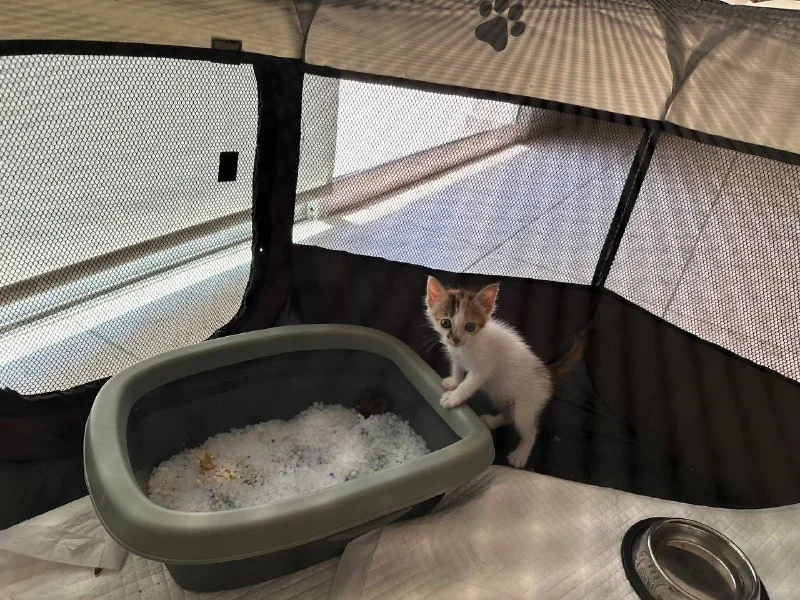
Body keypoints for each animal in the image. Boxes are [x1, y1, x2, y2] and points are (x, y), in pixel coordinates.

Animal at [425, 275, 584, 469]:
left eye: (470, 327)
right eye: (445, 323)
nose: (455, 339)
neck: (466, 346)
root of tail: (547, 372)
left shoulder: (482, 370)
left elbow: (468, 385)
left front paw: (454, 397)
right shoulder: (456, 357)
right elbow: (457, 368)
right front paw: (453, 382)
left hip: (526, 406)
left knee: (530, 430)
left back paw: (520, 455)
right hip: (500, 396)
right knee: (509, 414)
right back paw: (492, 421)